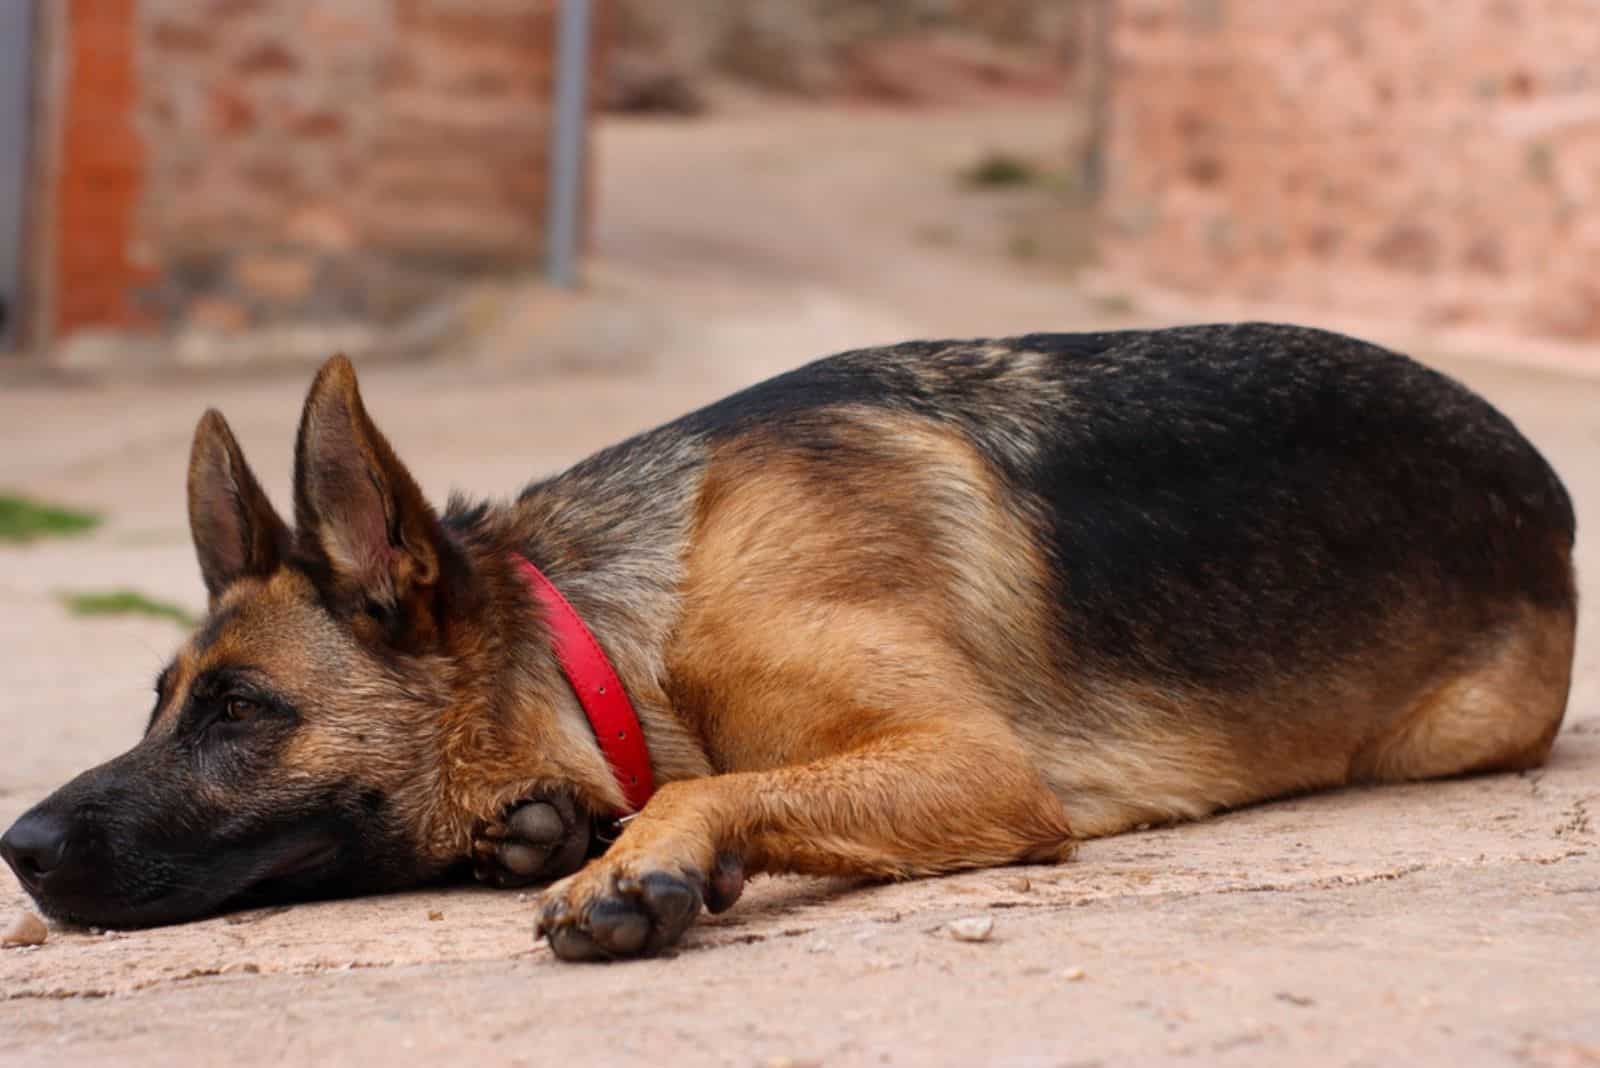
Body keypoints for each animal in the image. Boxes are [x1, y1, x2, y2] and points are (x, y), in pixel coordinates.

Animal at [0, 322, 1574, 959]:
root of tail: (1545, 487)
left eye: (240, 712)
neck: (615, 635)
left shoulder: (976, 765)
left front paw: (633, 861)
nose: (14, 845)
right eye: (160, 704)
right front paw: (549, 830)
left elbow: (725, 784)